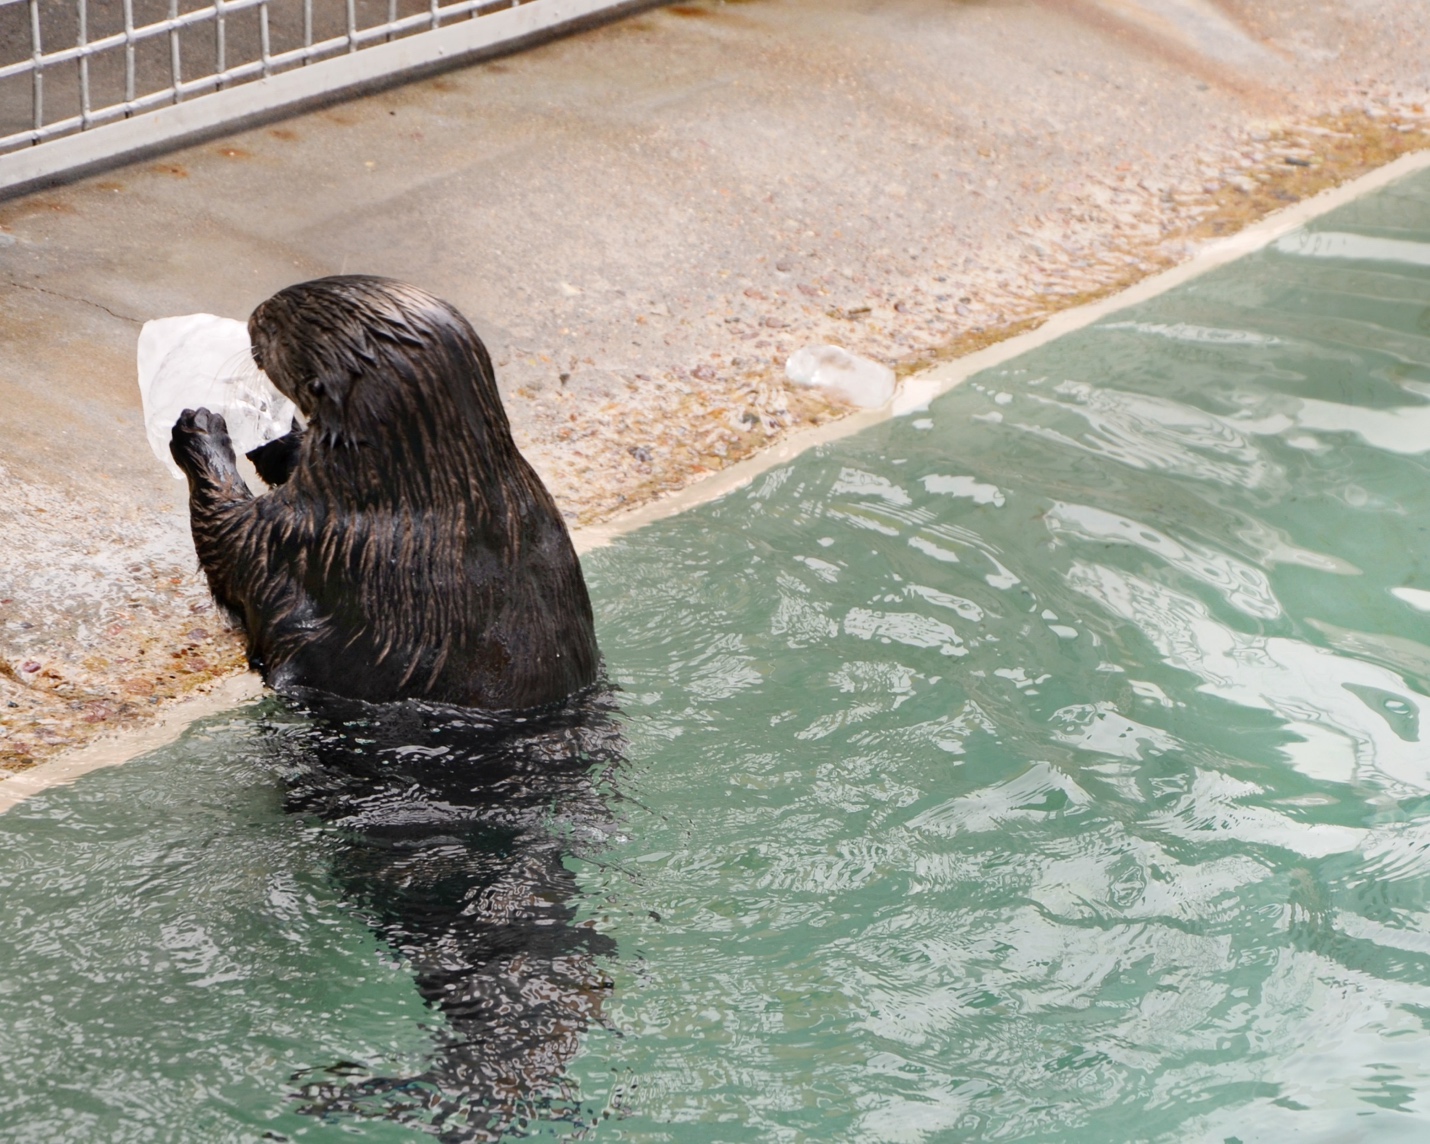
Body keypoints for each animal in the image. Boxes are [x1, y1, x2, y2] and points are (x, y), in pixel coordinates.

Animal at [169, 276, 599, 710]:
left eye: (273, 328)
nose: (256, 315)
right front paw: (270, 428)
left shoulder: (304, 531)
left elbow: (226, 542)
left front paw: (202, 429)